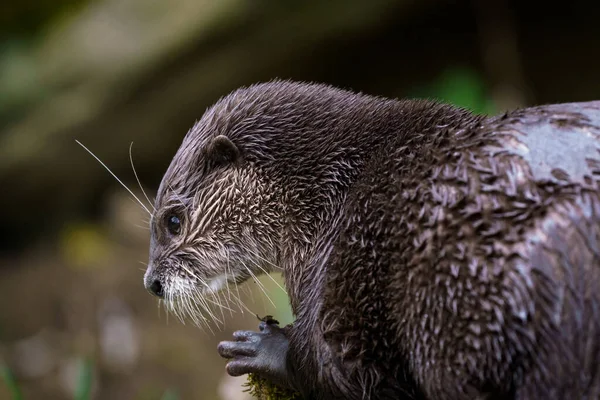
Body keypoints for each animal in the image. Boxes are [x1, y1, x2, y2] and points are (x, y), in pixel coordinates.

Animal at [142, 81, 600, 400]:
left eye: (172, 220)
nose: (151, 283)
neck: (330, 193)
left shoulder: (344, 264)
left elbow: (349, 370)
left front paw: (265, 348)